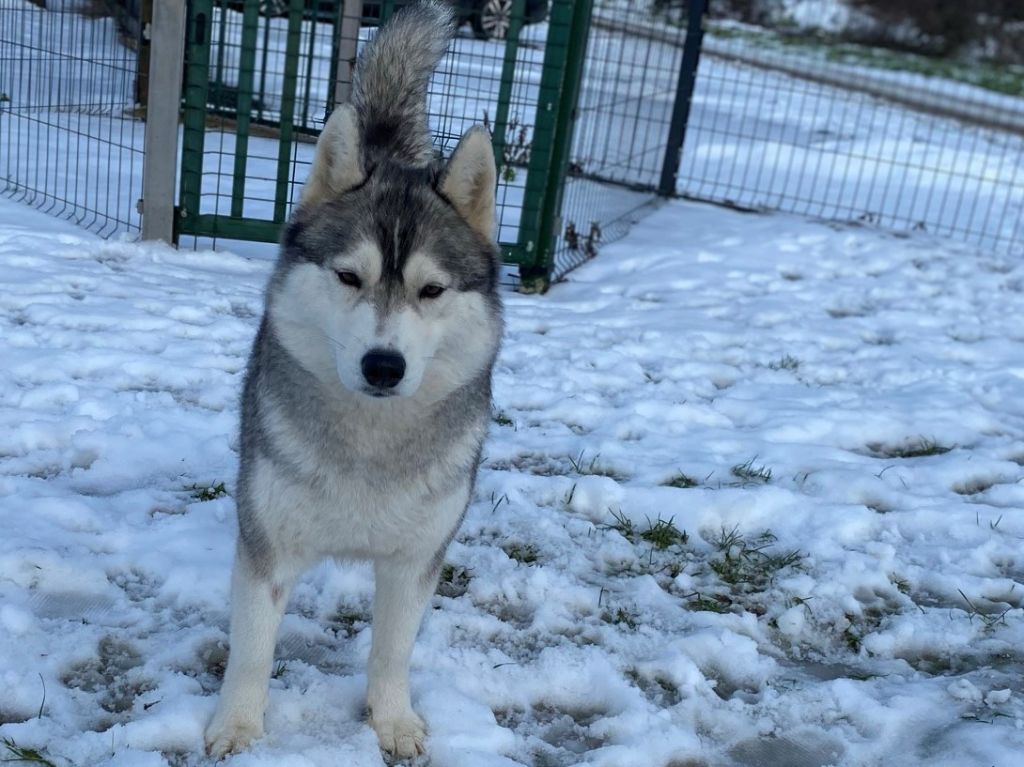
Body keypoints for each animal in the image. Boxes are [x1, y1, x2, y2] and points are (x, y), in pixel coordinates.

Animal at [202, 1, 499, 761]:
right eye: (348, 276)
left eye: (431, 290)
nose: (383, 364)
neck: (368, 447)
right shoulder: (266, 547)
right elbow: (254, 648)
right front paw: (237, 725)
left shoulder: (416, 559)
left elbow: (392, 650)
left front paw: (391, 722)